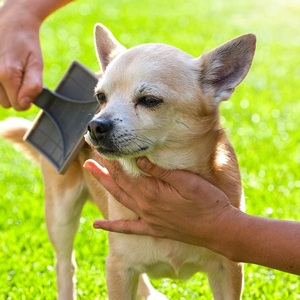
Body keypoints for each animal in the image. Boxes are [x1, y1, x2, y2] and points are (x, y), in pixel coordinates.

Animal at [0, 24, 255, 300]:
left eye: (149, 100)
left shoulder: (228, 269)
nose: (94, 125)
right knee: (65, 264)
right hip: (61, 213)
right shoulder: (118, 268)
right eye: (100, 97)